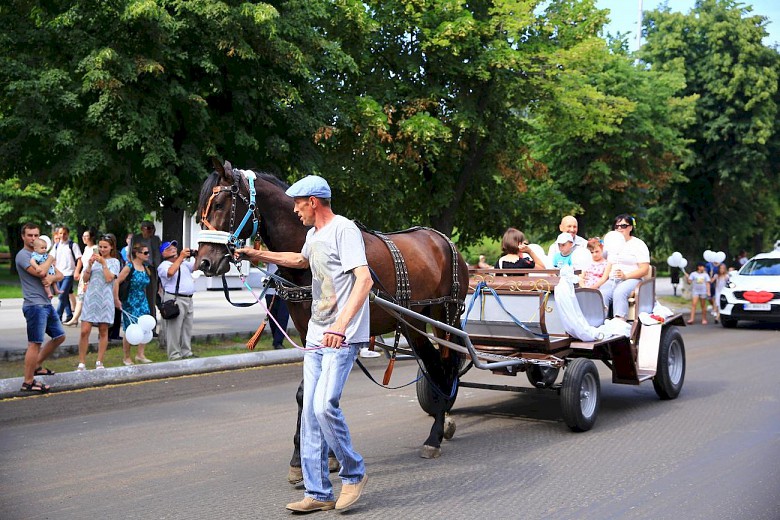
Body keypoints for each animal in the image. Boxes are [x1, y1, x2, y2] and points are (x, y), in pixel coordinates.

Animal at [198, 161, 466, 460]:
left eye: (219, 204)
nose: (204, 262)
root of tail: (443, 241)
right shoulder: (307, 331)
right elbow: (309, 391)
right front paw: (315, 454)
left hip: (444, 315)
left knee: (445, 365)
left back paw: (435, 434)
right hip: (413, 322)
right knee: (436, 365)